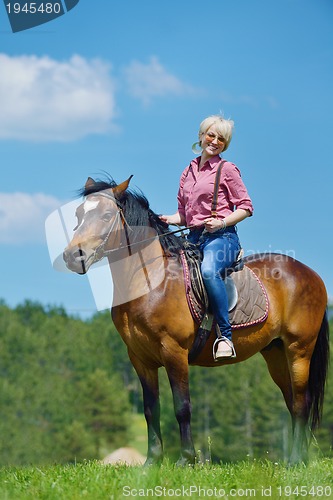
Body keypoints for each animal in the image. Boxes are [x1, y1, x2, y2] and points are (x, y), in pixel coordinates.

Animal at [61, 177, 326, 464]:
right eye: (79, 214)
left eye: (107, 215)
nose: (72, 256)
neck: (151, 281)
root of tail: (311, 274)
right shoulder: (140, 358)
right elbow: (150, 409)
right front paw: (152, 462)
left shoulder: (174, 351)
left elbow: (182, 407)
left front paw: (186, 459)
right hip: (275, 352)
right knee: (291, 400)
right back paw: (295, 459)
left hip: (299, 349)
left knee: (301, 402)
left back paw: (297, 459)